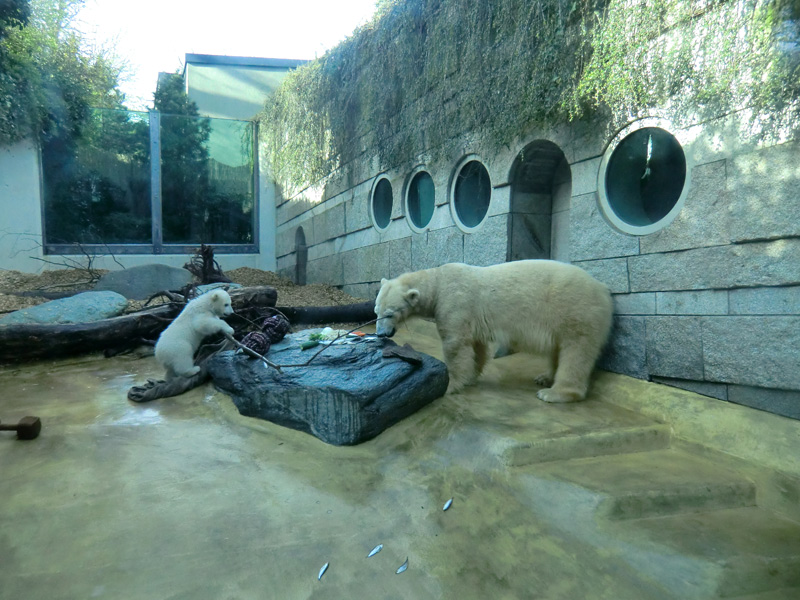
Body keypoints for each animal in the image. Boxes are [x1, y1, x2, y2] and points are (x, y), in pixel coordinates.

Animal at [376, 258, 612, 404]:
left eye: (389, 314)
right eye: (376, 311)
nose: (380, 334)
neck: (438, 281)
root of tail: (602, 289)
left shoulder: (455, 303)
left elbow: (455, 344)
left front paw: (450, 384)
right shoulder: (472, 316)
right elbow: (477, 346)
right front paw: (471, 376)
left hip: (574, 309)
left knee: (576, 351)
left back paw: (554, 393)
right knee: (559, 349)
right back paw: (544, 378)